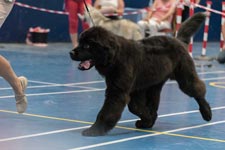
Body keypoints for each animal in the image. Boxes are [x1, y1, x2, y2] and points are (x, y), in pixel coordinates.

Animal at [70, 12, 211, 137]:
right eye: (80, 42)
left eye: (87, 46)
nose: (71, 52)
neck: (115, 57)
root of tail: (178, 41)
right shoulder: (136, 89)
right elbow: (135, 107)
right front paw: (147, 119)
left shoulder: (118, 91)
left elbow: (107, 111)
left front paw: (95, 130)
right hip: (154, 84)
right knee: (154, 103)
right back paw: (148, 123)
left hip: (185, 77)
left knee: (198, 90)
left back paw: (207, 113)